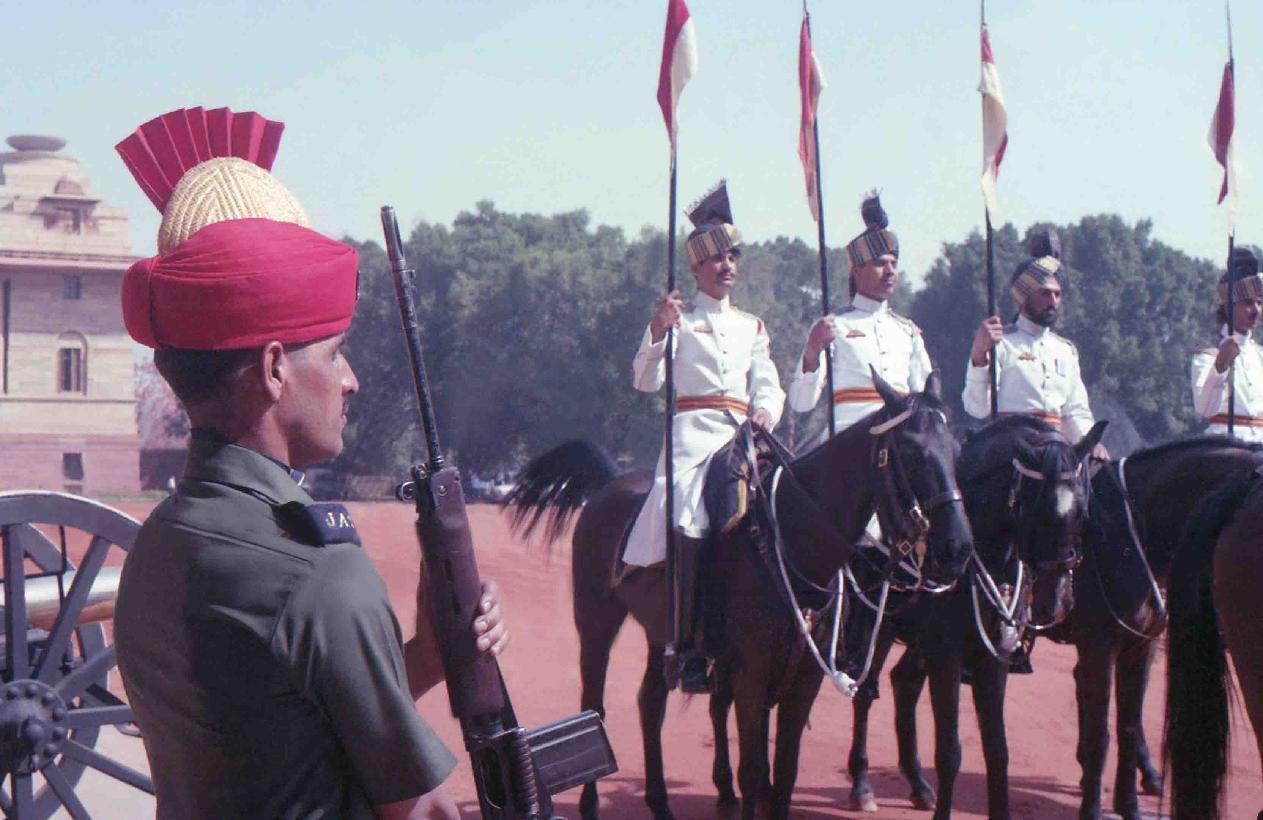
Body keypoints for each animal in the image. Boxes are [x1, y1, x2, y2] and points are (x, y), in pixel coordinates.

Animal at [507, 373, 973, 820]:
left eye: (955, 451)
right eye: (911, 453)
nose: (957, 548)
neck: (792, 537)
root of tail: (608, 485)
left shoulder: (803, 676)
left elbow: (784, 773)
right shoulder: (752, 672)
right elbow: (754, 771)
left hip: (662, 633)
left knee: (650, 704)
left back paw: (660, 803)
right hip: (596, 620)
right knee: (593, 706)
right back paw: (590, 804)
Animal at [838, 415, 1105, 819]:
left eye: (1084, 513)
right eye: (1036, 508)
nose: (1056, 600)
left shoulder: (992, 657)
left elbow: (997, 750)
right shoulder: (947, 655)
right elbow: (950, 751)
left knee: (904, 683)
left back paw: (918, 784)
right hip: (879, 628)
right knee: (866, 691)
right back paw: (862, 784)